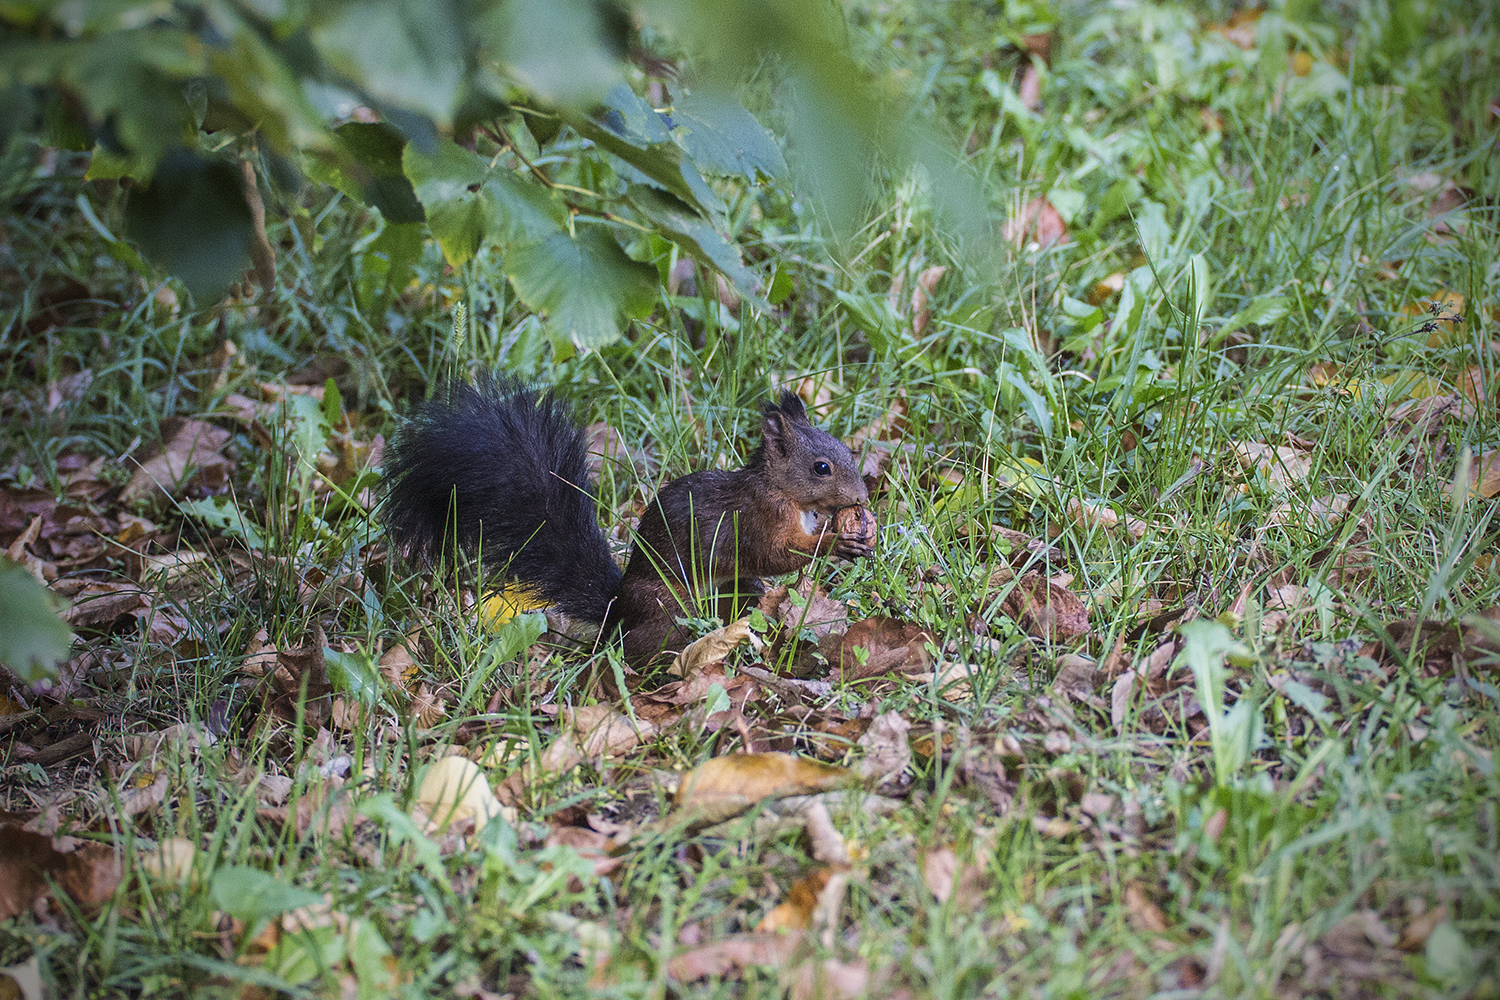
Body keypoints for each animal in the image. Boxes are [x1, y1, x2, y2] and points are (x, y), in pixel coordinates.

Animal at [381, 374, 875, 665]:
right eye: (822, 467)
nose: (862, 496)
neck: (783, 490)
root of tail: (615, 611)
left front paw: (861, 531)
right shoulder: (756, 518)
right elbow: (775, 553)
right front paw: (835, 543)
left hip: (731, 591)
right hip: (667, 606)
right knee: (640, 644)